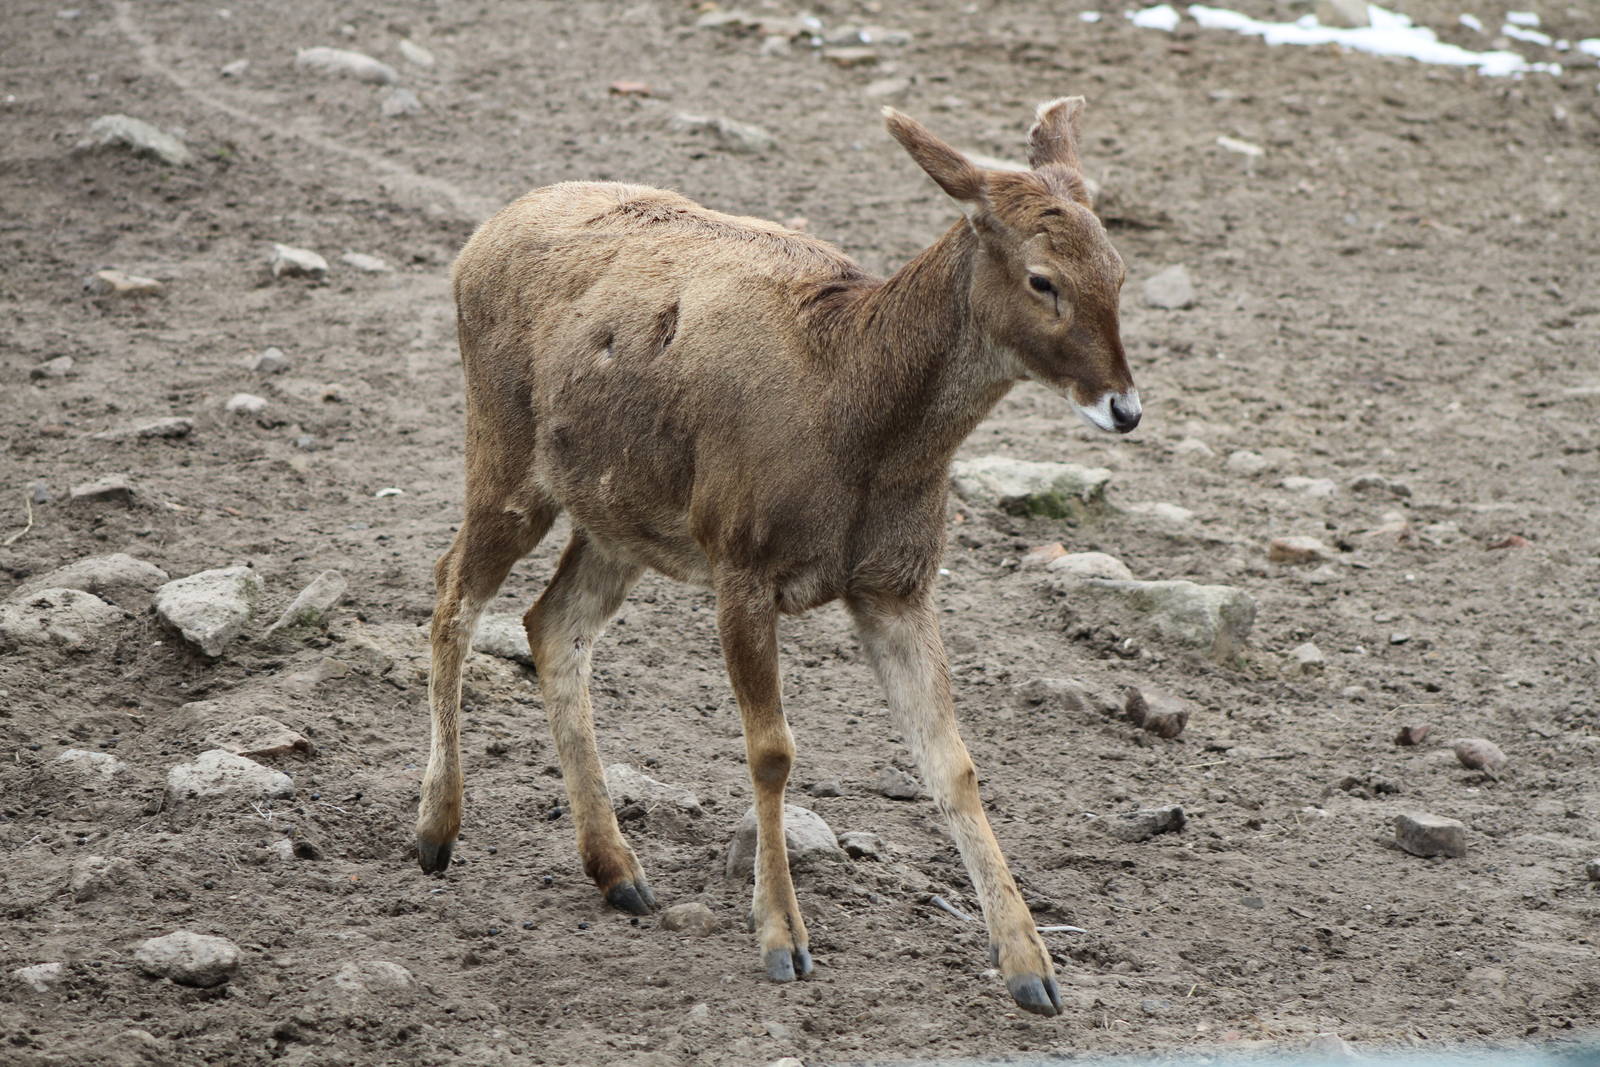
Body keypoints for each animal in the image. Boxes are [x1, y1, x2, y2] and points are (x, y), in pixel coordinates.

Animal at [415, 97, 1140, 1017]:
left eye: (1119, 268)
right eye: (1043, 278)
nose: (1124, 406)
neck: (856, 426)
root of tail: (476, 243)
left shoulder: (900, 582)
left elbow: (954, 762)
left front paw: (1031, 967)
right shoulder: (741, 557)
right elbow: (772, 751)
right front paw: (783, 940)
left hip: (619, 515)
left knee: (551, 622)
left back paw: (619, 871)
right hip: (506, 451)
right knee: (451, 592)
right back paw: (436, 830)